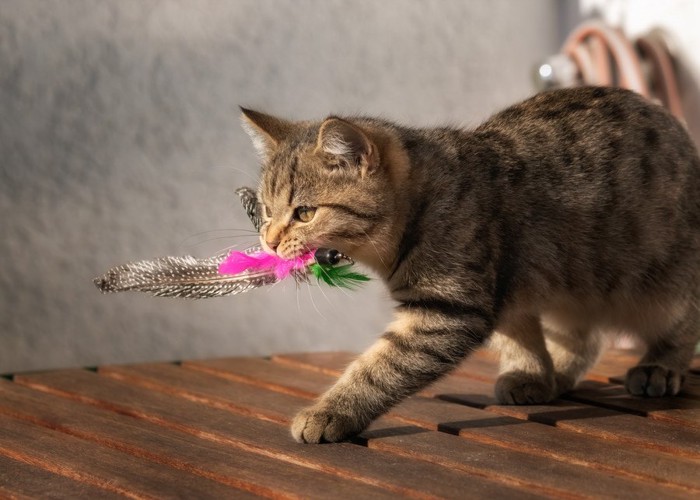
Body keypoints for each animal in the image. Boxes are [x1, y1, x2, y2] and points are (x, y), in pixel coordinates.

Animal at [239, 87, 700, 446]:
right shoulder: (508, 294)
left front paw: (331, 411)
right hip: (573, 282)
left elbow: (381, 367)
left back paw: (658, 367)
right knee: (582, 338)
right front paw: (530, 372)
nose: (269, 241)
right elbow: (520, 339)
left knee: (681, 326)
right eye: (266, 209)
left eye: (304, 213)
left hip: (666, 284)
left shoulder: (449, 309)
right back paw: (558, 374)